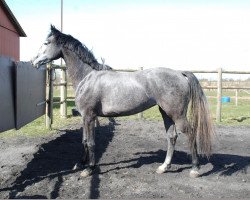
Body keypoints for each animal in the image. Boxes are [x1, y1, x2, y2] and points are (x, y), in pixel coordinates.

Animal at [32, 25, 214, 178]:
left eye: (46, 42)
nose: (34, 61)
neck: (87, 77)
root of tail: (179, 73)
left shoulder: (89, 116)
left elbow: (90, 142)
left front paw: (89, 169)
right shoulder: (85, 117)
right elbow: (84, 140)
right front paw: (80, 163)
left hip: (177, 115)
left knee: (190, 133)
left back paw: (195, 169)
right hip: (166, 113)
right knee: (172, 136)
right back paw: (163, 167)